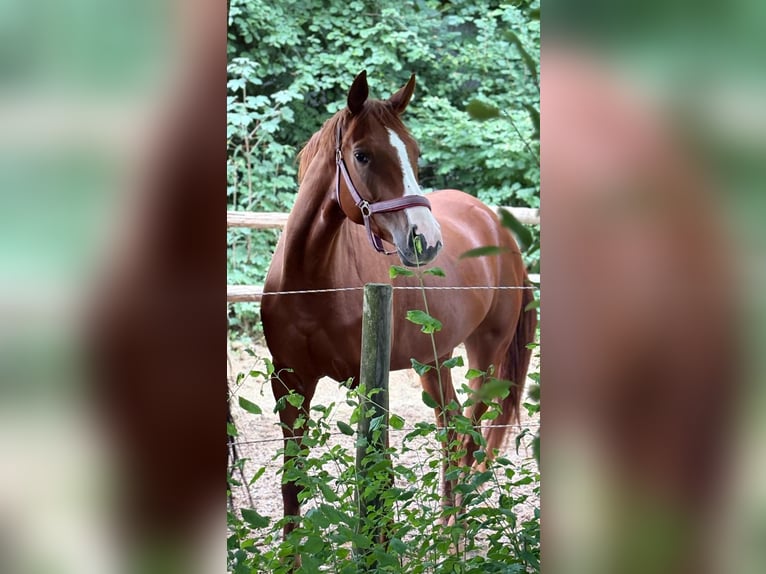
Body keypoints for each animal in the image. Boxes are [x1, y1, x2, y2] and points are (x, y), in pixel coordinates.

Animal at [261, 71, 537, 538]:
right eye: (362, 155)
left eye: (414, 152)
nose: (425, 239)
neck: (311, 280)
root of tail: (498, 226)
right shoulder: (289, 384)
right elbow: (291, 484)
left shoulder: (369, 385)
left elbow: (378, 475)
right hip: (434, 359)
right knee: (450, 428)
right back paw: (446, 524)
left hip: (485, 354)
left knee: (468, 434)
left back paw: (457, 532)